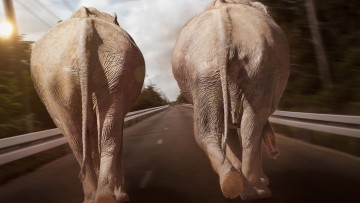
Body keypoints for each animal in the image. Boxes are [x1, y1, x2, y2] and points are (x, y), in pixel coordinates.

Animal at [29, 6, 145, 203]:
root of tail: (85, 28)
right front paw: (121, 194)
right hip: (113, 66)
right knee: (108, 135)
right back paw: (107, 196)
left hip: (58, 79)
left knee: (75, 137)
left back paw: (94, 196)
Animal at [172, 0, 290, 200]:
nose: (276, 153)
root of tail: (222, 35)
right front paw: (262, 181)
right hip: (252, 67)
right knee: (253, 122)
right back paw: (256, 190)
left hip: (211, 71)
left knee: (214, 129)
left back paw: (235, 184)